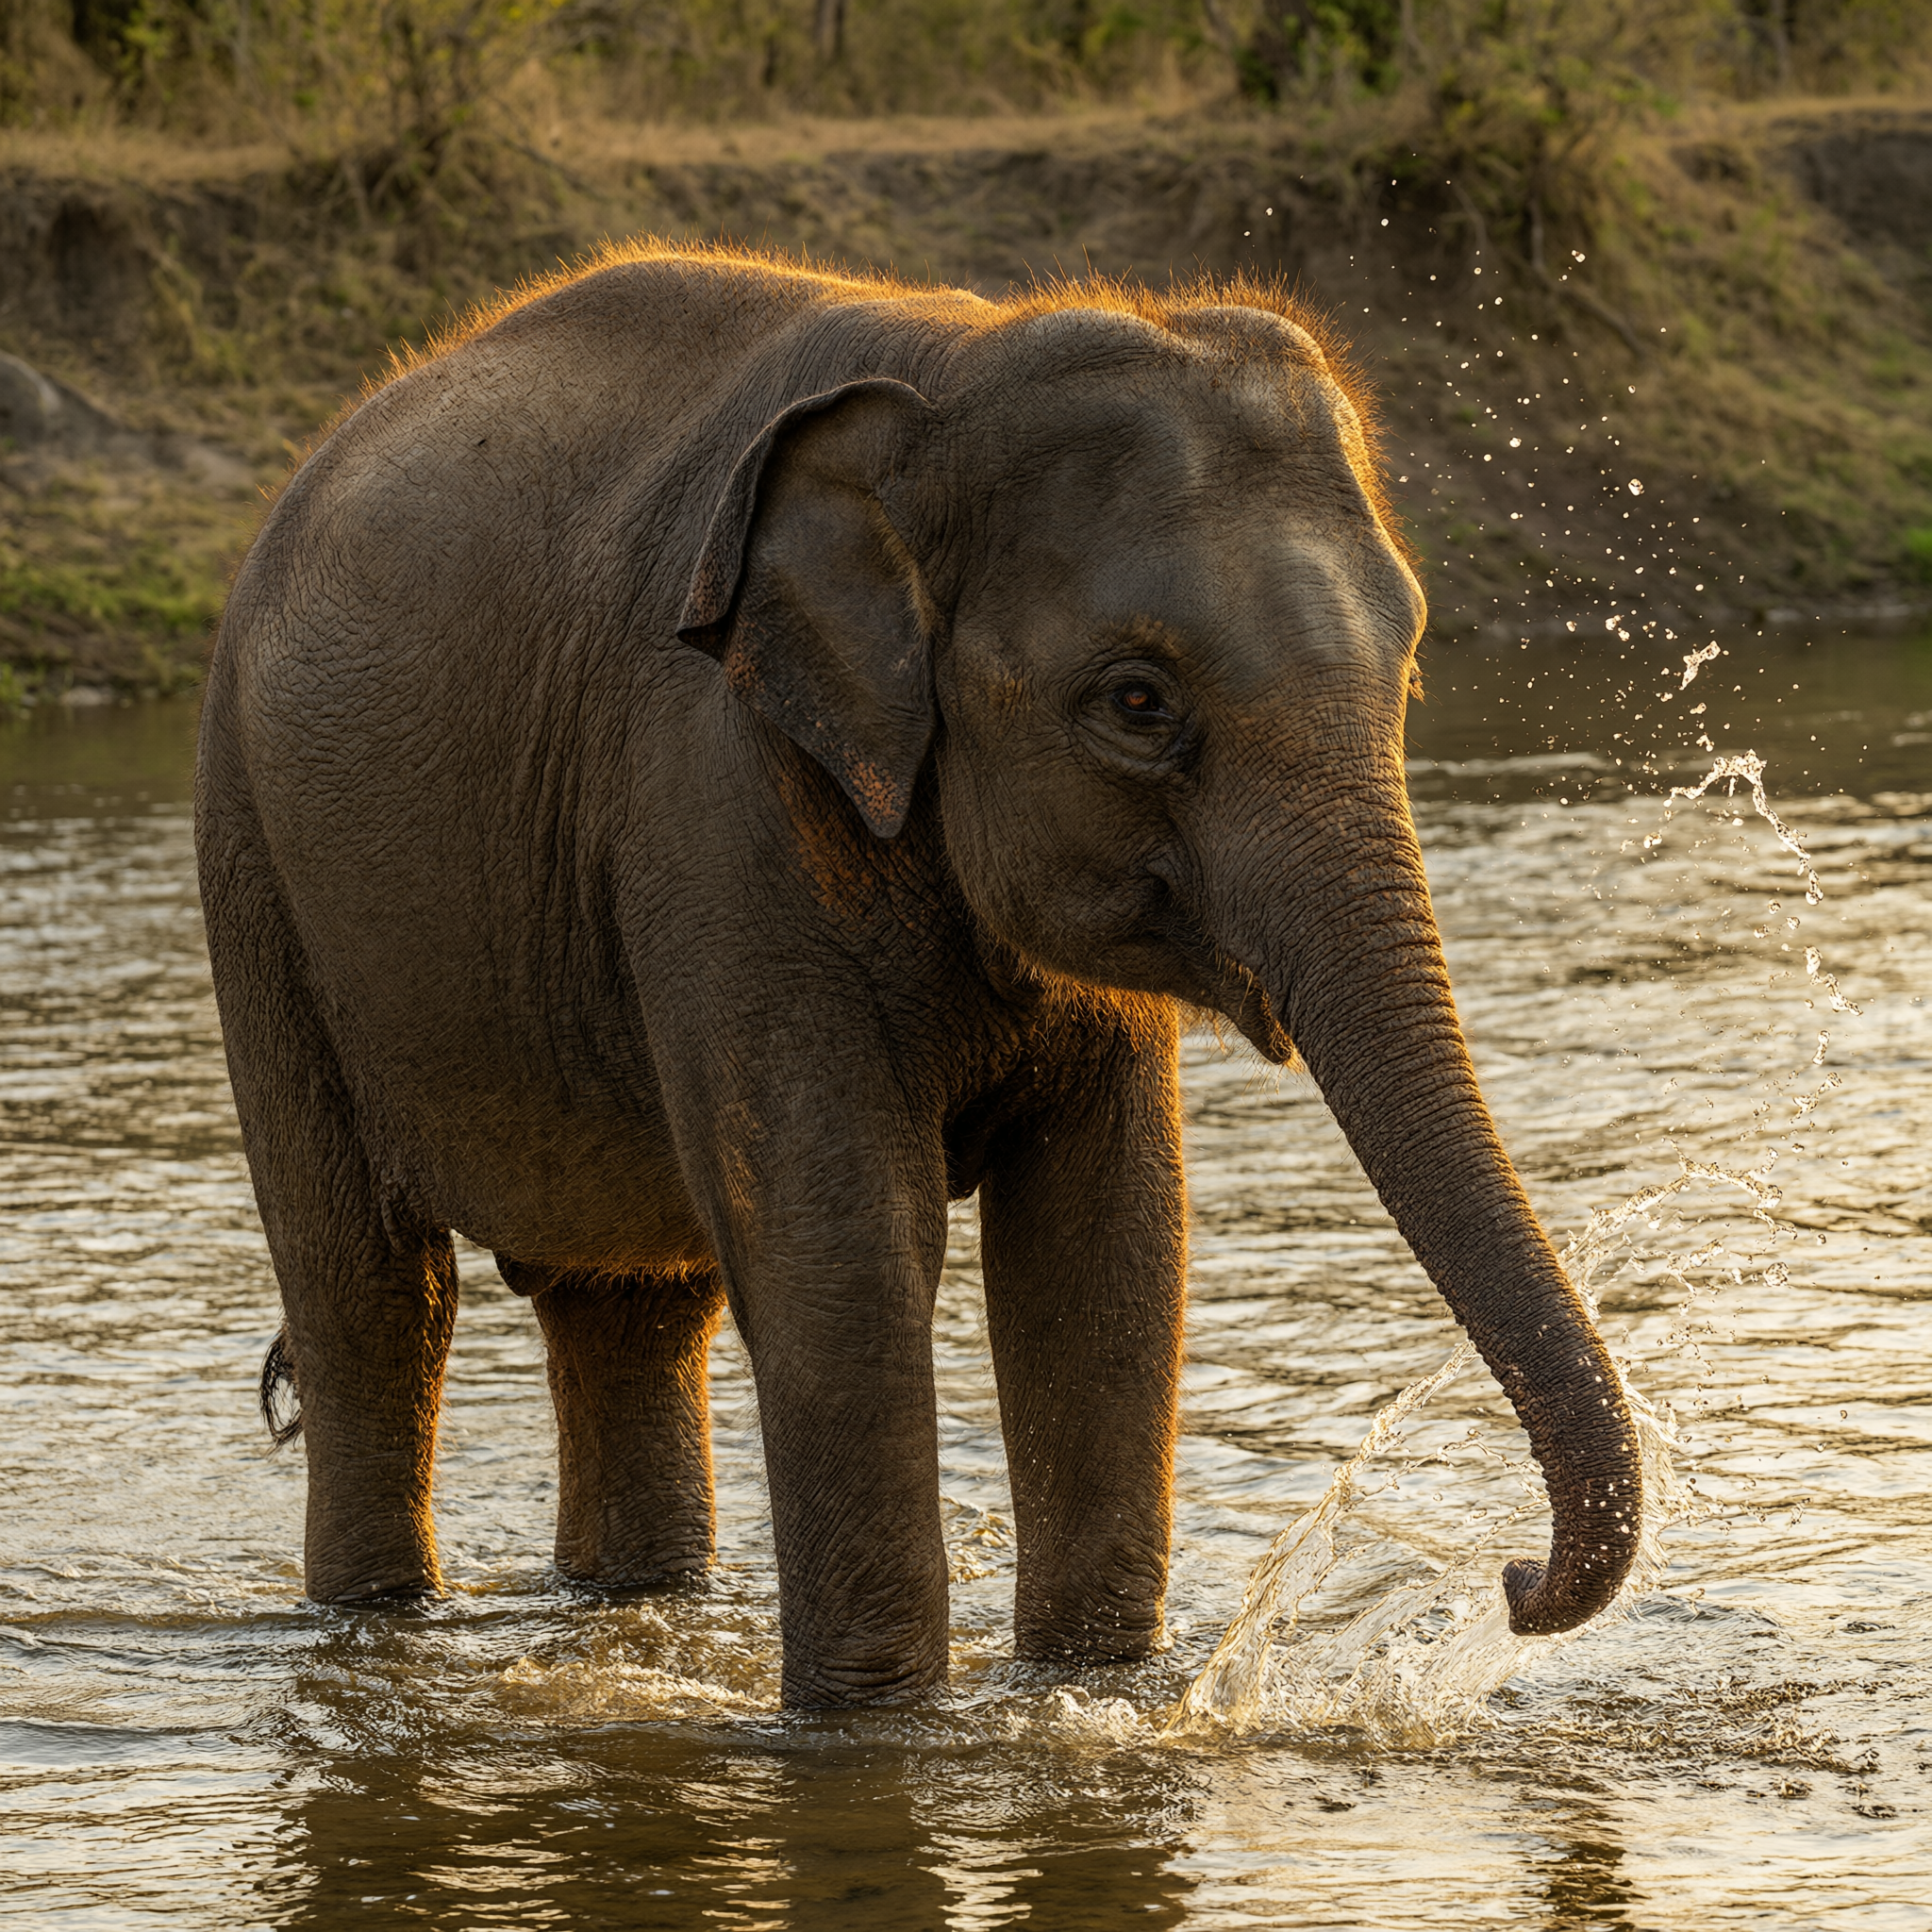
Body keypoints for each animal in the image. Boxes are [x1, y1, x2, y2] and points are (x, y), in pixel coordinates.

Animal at [194, 244, 1641, 1708]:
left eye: (1406, 671)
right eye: (1135, 701)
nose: (1510, 1581)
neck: (954, 371)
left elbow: (1107, 1248)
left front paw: (1086, 1692)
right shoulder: (711, 797)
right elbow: (846, 1249)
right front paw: (871, 1722)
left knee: (631, 1309)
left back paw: (633, 1603)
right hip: (255, 871)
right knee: (374, 1298)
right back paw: (377, 1614)